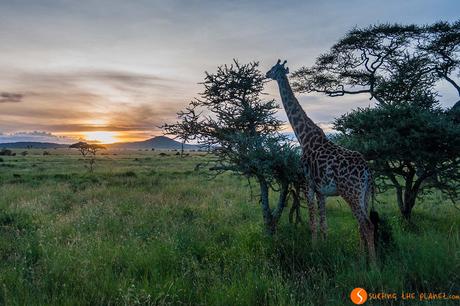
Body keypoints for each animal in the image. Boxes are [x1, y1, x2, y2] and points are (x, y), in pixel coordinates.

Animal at [266, 59, 378, 260]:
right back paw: (360, 258)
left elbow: (312, 222)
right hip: (364, 194)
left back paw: (372, 264)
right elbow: (324, 223)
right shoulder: (321, 191)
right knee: (362, 225)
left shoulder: (308, 184)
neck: (304, 137)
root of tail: (367, 171)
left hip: (351, 193)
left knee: (366, 225)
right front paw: (325, 248)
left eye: (273, 68)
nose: (266, 74)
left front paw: (314, 250)